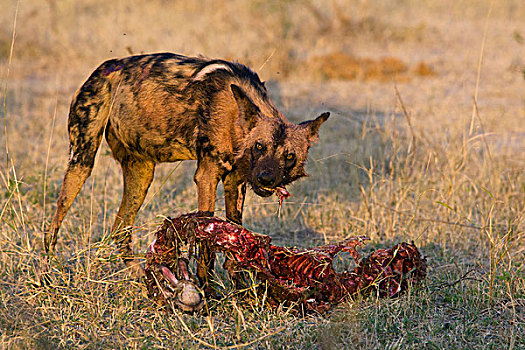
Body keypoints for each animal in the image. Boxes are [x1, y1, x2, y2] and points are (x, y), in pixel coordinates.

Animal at [44, 52, 328, 278]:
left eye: (289, 156)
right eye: (259, 146)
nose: (266, 178)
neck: (235, 120)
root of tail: (105, 67)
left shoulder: (235, 184)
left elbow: (236, 237)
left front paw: (239, 287)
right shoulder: (207, 177)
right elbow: (207, 244)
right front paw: (206, 291)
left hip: (141, 176)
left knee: (119, 230)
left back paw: (142, 278)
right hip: (82, 161)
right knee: (53, 224)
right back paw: (48, 273)